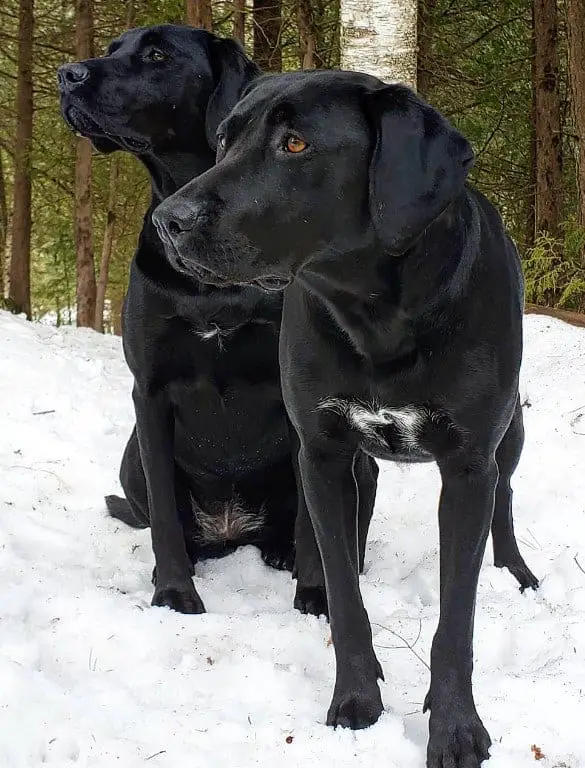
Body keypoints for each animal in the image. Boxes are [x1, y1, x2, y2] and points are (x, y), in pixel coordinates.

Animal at [57, 25, 378, 616]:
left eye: (156, 54)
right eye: (113, 48)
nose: (68, 74)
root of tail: (233, 530)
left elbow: (315, 524)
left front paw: (315, 595)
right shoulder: (150, 390)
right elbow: (163, 517)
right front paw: (173, 592)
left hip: (360, 462)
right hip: (131, 455)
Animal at [154, 70, 540, 760]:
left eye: (296, 144)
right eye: (224, 139)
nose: (168, 220)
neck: (375, 312)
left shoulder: (468, 467)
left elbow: (456, 618)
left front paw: (456, 727)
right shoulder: (323, 453)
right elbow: (342, 591)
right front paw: (357, 697)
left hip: (511, 435)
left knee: (507, 497)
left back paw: (515, 571)